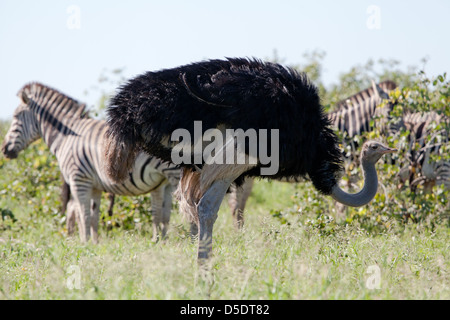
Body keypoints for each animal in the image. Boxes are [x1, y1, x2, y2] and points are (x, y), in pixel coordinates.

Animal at [2, 82, 181, 242]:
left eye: (16, 117)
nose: (4, 149)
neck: (67, 136)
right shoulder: (95, 184)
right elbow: (94, 215)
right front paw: (95, 243)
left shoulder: (79, 180)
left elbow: (83, 213)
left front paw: (84, 243)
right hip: (166, 179)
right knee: (165, 212)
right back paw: (163, 241)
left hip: (174, 175)